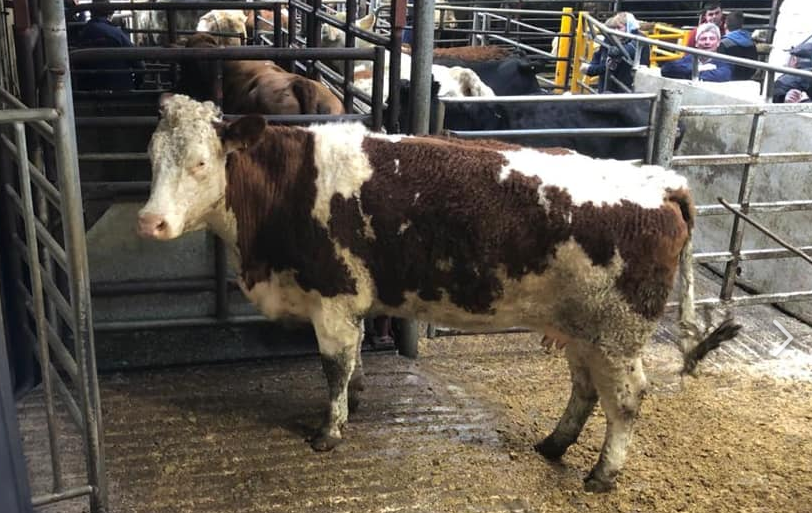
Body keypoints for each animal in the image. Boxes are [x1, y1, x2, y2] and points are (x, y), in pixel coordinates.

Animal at [137, 94, 739, 492]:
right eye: (151, 157)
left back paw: (602, 474)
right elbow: (353, 363)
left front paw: (329, 431)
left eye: (200, 162)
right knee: (586, 389)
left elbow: (333, 367)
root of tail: (664, 182)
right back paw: (553, 444)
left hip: (617, 333)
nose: (150, 222)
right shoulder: (349, 304)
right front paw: (356, 400)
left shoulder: (332, 297)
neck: (289, 189)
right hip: (583, 327)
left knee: (628, 400)